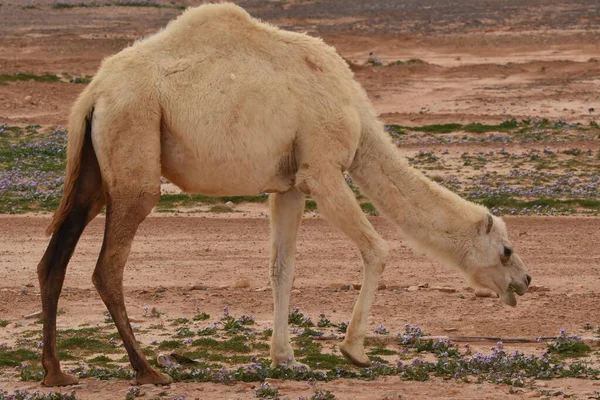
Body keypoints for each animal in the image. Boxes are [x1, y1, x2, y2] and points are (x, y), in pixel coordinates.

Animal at [37, 3, 532, 388]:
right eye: (506, 250)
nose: (525, 282)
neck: (355, 113)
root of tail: (93, 93)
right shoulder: (322, 170)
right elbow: (377, 248)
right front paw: (354, 351)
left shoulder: (289, 185)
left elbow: (282, 269)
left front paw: (285, 357)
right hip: (134, 139)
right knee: (109, 263)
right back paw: (148, 370)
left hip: (93, 170)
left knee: (54, 258)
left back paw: (56, 372)